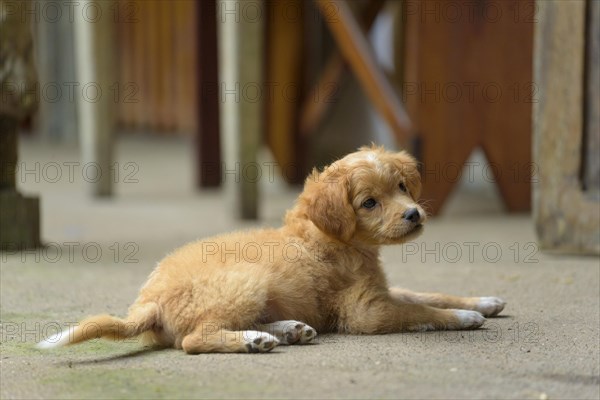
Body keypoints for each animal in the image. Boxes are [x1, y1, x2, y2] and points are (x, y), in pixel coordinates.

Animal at [37, 146, 504, 354]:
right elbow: (419, 309)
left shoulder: (380, 291)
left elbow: (425, 294)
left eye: (402, 186)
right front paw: (465, 317)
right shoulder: (365, 312)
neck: (331, 238)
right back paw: (256, 341)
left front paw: (483, 300)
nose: (413, 214)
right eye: (369, 202)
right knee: (193, 339)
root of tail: (145, 305)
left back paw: (286, 330)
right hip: (246, 281)